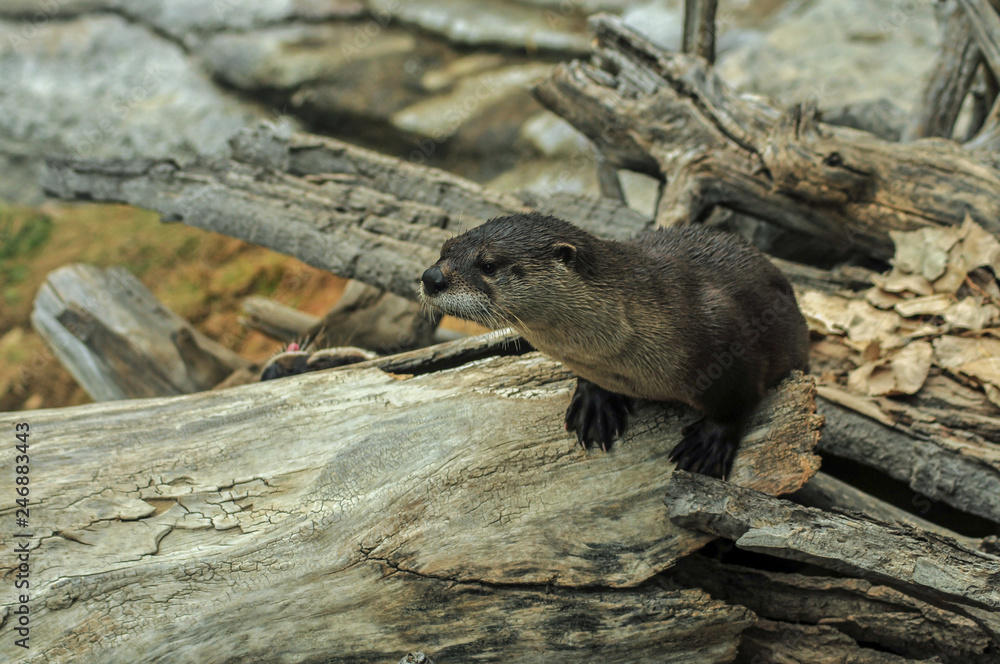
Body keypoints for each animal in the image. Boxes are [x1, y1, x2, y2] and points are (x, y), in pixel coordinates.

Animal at [418, 212, 809, 478]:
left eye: (488, 264)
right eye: (445, 249)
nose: (431, 277)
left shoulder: (727, 343)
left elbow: (736, 402)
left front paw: (710, 443)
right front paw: (595, 404)